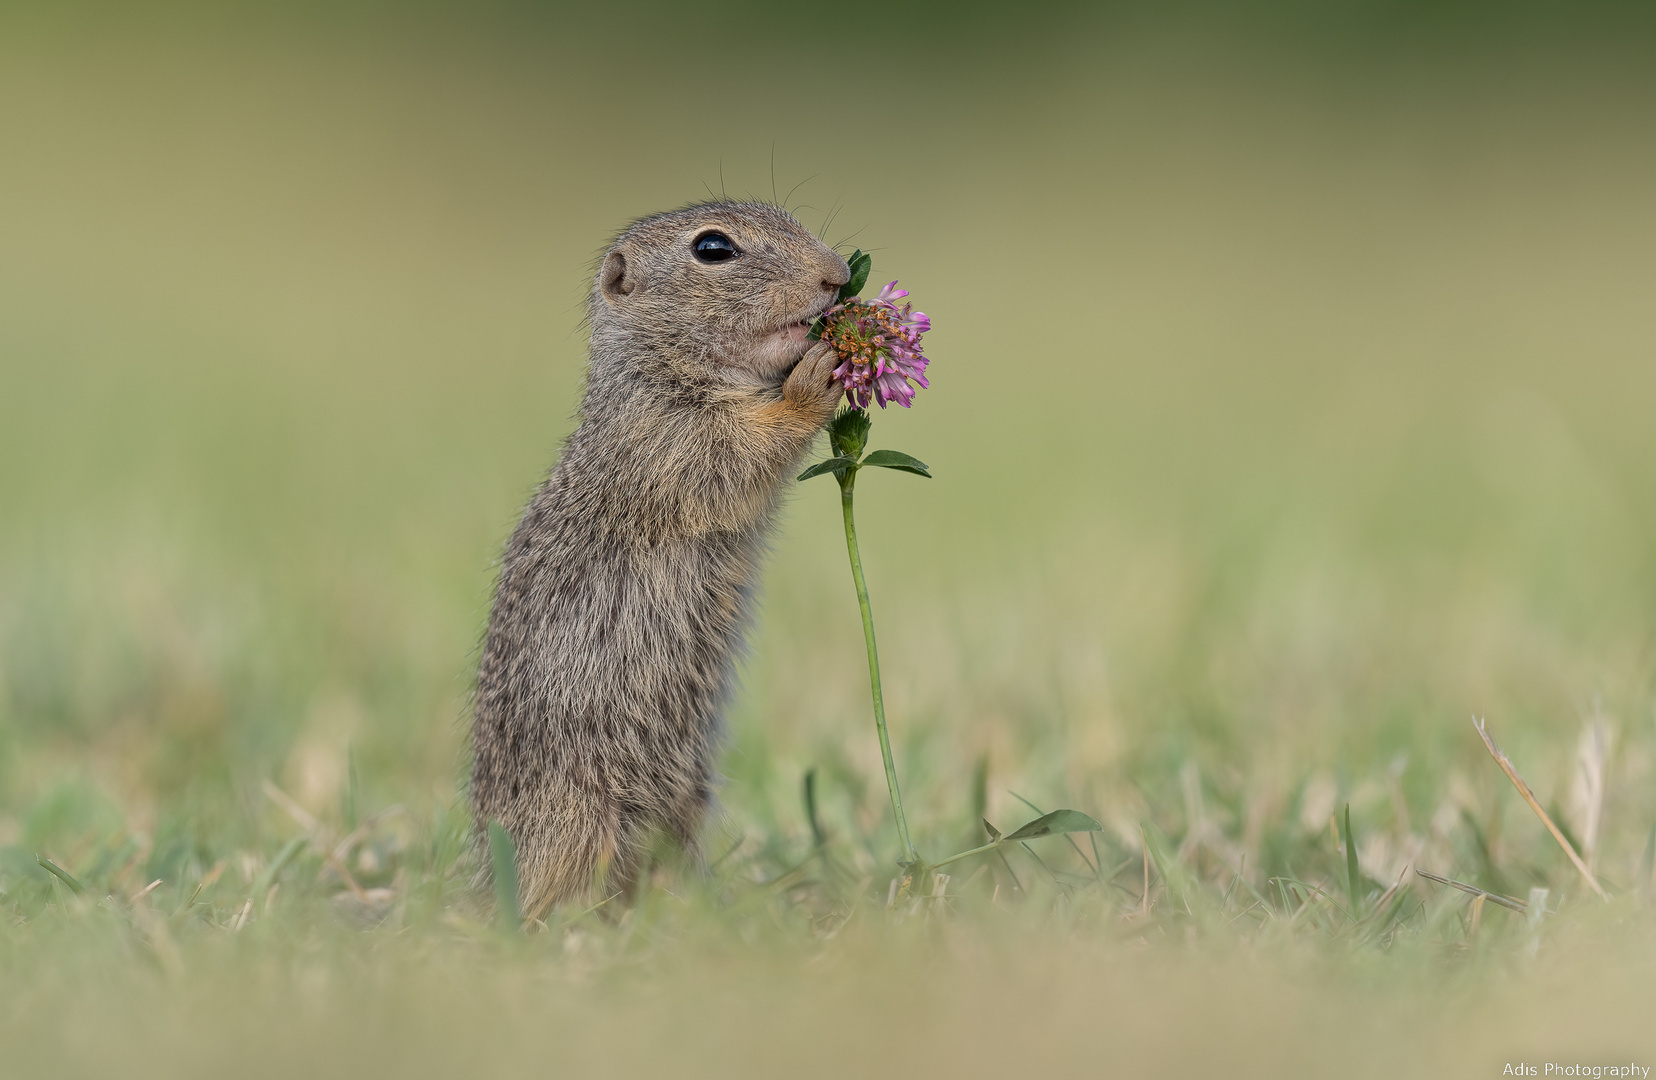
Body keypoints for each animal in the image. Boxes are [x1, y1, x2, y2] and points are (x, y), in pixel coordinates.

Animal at [470, 200, 847, 914]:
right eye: (713, 248)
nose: (838, 276)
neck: (660, 369)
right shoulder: (667, 439)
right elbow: (739, 455)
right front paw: (814, 377)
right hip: (584, 813)